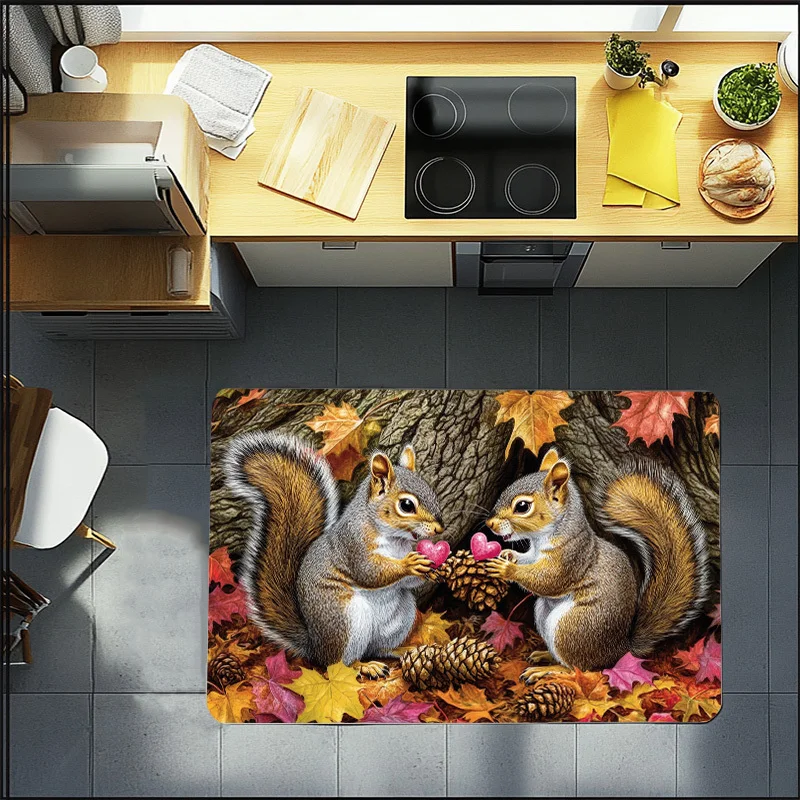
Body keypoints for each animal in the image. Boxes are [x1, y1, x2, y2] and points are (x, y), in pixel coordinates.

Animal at [224, 431, 444, 678]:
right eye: (406, 505)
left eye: (432, 491)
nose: (439, 528)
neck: (395, 539)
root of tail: (315, 646)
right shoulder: (353, 545)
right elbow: (369, 572)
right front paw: (409, 564)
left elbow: (408, 583)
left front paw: (432, 569)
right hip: (345, 621)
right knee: (338, 663)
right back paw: (364, 666)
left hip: (399, 617)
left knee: (378, 648)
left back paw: (401, 649)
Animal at [485, 447, 709, 674]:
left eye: (522, 506)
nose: (489, 524)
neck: (543, 538)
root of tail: (620, 650)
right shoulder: (535, 554)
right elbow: (528, 560)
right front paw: (508, 555)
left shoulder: (572, 557)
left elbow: (549, 580)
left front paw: (506, 568)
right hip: (544, 613)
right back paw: (544, 655)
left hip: (573, 627)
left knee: (580, 668)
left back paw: (550, 670)